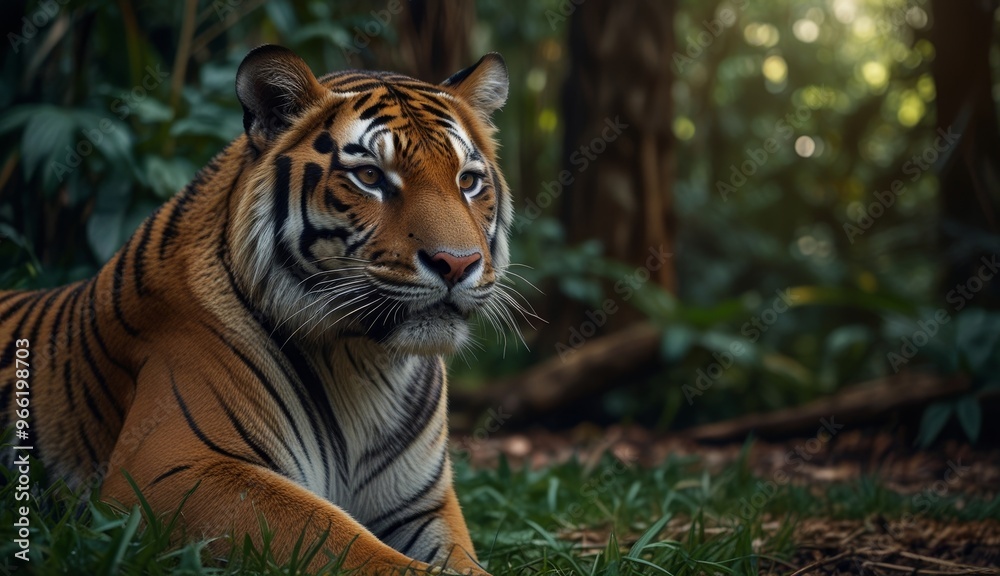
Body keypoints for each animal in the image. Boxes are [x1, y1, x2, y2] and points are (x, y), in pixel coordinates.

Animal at [0, 44, 516, 575]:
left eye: (468, 181)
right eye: (370, 176)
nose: (457, 264)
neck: (366, 361)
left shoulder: (423, 504)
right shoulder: (173, 466)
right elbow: (342, 538)